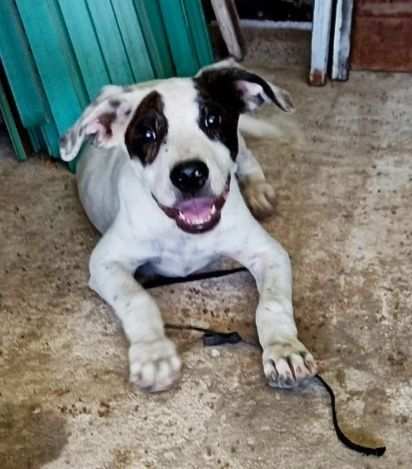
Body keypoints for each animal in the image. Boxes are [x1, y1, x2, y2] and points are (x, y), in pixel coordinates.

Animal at [59, 61, 318, 392]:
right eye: (147, 133)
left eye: (212, 119)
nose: (190, 175)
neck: (182, 232)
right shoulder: (105, 262)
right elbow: (136, 299)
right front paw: (154, 354)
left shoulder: (270, 253)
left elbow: (272, 303)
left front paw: (284, 349)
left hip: (242, 148)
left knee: (247, 158)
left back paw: (258, 190)